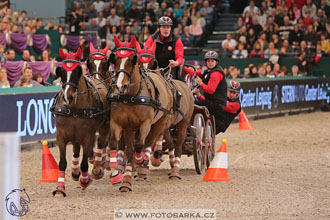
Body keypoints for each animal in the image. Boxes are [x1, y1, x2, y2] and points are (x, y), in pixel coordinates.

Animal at [51, 47, 109, 196]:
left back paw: (96, 169)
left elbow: (84, 163)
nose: (68, 97)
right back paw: (75, 172)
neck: (74, 109)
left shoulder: (88, 136)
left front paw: (85, 180)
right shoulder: (61, 136)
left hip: (103, 128)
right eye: (61, 71)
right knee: (77, 150)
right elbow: (62, 163)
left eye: (78, 70)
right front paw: (60, 188)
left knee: (100, 145)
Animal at [107, 34, 175, 191]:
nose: (120, 85)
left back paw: (145, 162)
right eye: (115, 59)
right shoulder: (119, 123)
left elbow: (140, 145)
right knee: (131, 149)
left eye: (132, 59)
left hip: (161, 121)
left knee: (150, 141)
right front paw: (116, 175)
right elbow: (115, 145)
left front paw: (140, 161)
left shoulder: (145, 124)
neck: (131, 95)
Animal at [135, 40, 195, 179]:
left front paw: (152, 159)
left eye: (152, 61)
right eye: (139, 61)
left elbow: (153, 140)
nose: (145, 73)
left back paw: (175, 170)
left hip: (183, 123)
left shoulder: (162, 122)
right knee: (171, 144)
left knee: (178, 146)